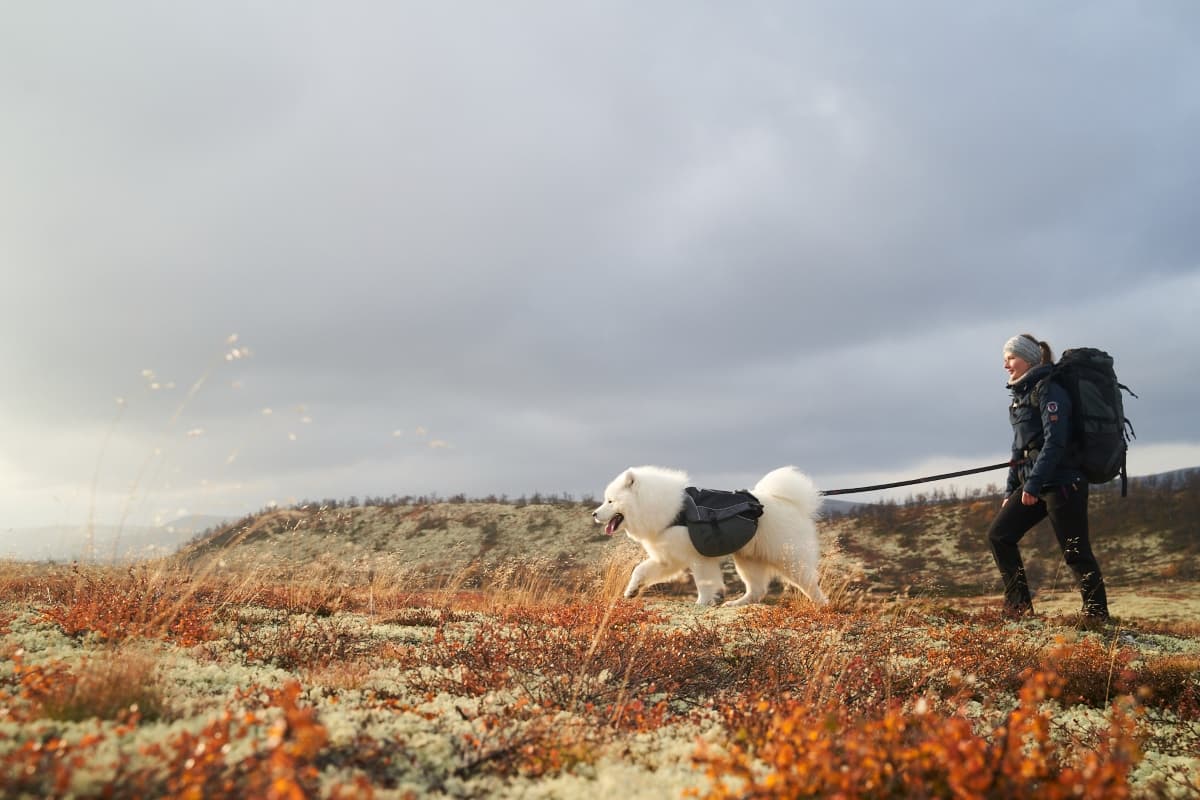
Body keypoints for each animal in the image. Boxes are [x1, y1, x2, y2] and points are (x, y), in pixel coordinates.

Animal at [590, 462, 825, 606]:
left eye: (610, 501)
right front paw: (632, 590)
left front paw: (702, 603)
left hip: (787, 557)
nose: (594, 514)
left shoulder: (699, 557)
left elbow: (704, 582)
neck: (671, 511)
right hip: (748, 559)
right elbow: (640, 570)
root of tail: (793, 503)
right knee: (757, 589)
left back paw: (822, 605)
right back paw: (737, 602)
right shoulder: (668, 558)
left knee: (809, 582)